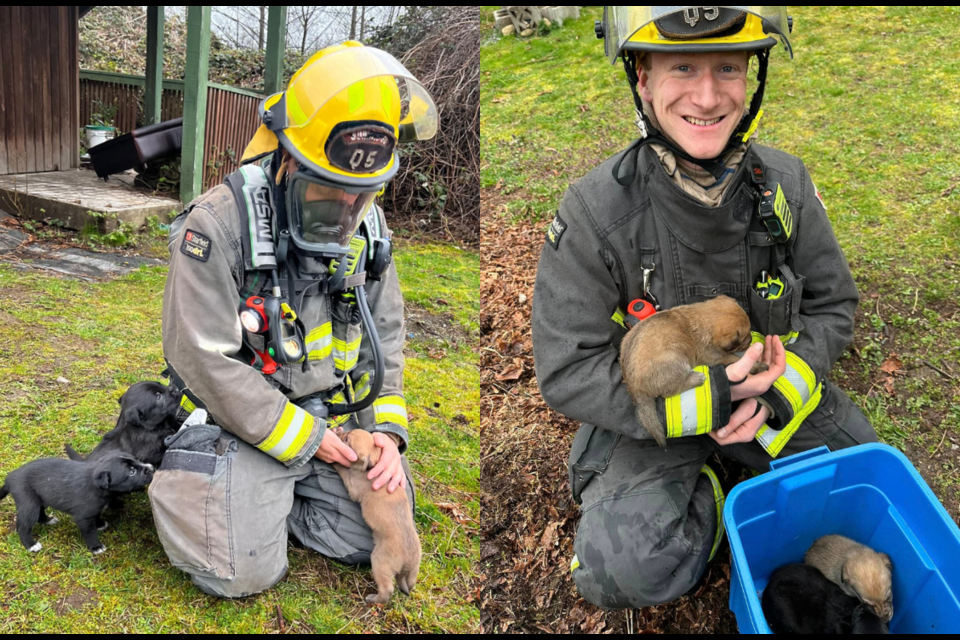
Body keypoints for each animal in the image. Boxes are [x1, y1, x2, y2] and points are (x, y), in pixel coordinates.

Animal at [0, 452, 154, 552]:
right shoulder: (83, 517)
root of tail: (10, 478)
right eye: (132, 472)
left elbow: (96, 515)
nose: (152, 467)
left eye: (137, 459)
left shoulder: (94, 509)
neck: (96, 486)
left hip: (40, 499)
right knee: (23, 526)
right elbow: (90, 532)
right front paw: (96, 547)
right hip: (28, 502)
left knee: (40, 512)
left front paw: (99, 524)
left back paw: (48, 520)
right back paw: (31, 545)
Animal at [336, 430, 422, 604]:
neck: (375, 462)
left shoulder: (352, 485)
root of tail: (408, 560)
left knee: (387, 589)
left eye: (347, 439)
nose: (340, 430)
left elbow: (343, 468)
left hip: (379, 562)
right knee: (408, 584)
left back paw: (373, 598)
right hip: (413, 571)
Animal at [620, 294, 760, 448]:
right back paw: (696, 379)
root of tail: (634, 388)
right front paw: (759, 365)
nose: (751, 339)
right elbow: (736, 359)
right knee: (671, 390)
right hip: (676, 360)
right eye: (744, 339)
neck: (703, 319)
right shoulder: (717, 357)